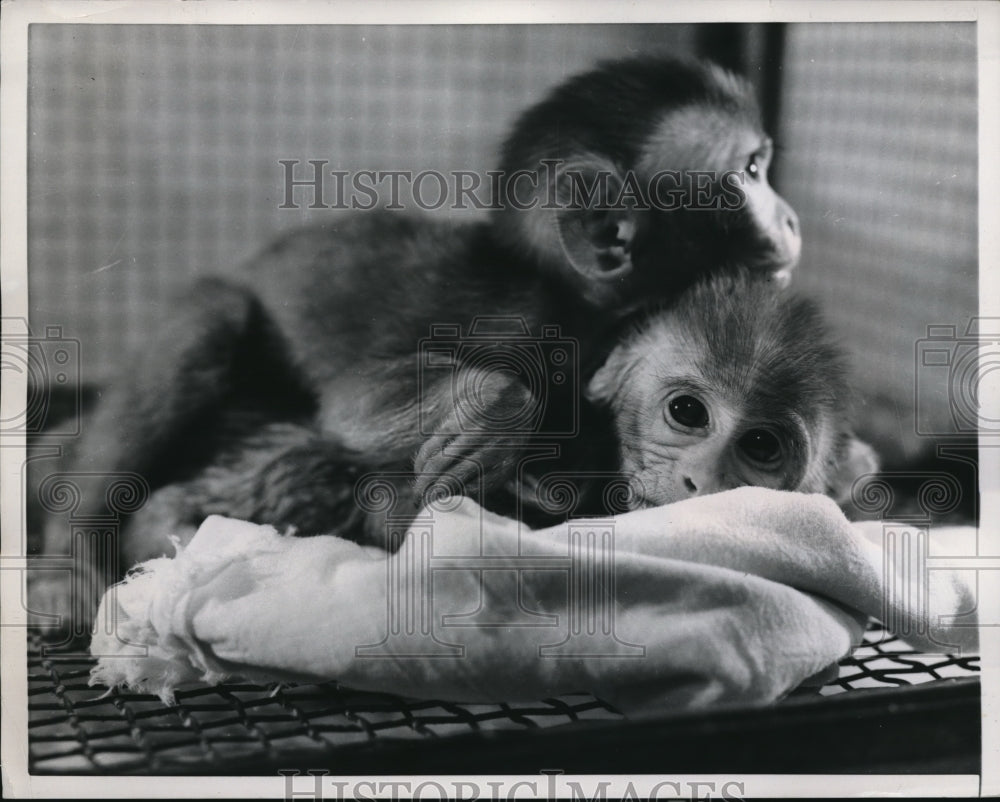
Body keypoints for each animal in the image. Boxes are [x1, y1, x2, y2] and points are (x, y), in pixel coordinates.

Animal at [32, 55, 801, 625]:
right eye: (750, 171)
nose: (791, 218)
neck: (579, 304)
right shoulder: (523, 320)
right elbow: (352, 404)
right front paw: (490, 419)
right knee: (209, 324)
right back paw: (74, 559)